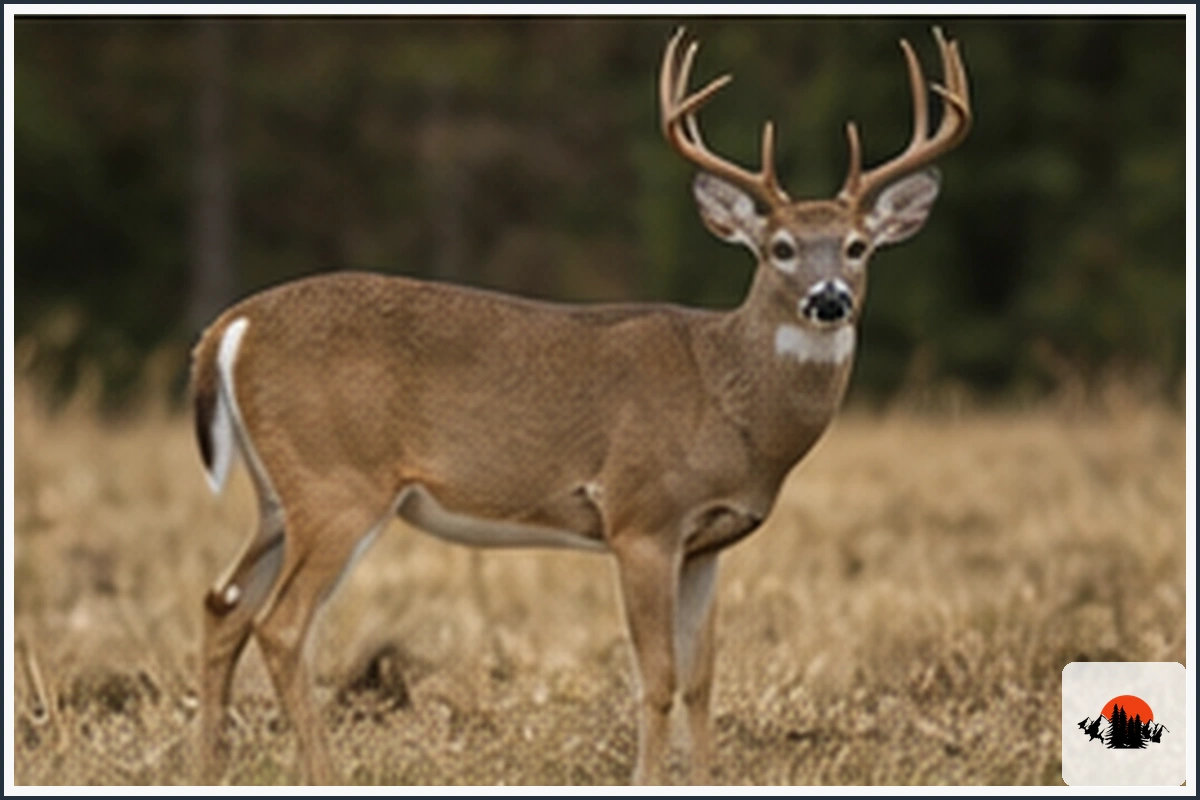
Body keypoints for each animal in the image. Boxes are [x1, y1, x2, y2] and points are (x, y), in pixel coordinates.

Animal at [190, 26, 971, 785]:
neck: (730, 404)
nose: (827, 299)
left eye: (857, 247)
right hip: (338, 482)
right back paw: (321, 771)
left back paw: (215, 766)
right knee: (280, 625)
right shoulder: (641, 516)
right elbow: (657, 677)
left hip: (279, 495)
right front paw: (648, 778)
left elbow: (702, 679)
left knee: (223, 605)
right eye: (779, 248)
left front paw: (707, 775)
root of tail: (231, 325)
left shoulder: (708, 542)